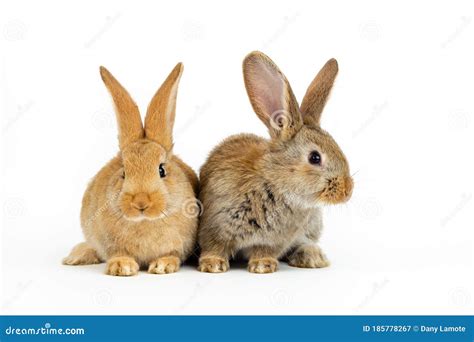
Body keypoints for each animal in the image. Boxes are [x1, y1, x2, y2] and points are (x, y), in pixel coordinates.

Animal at [62, 63, 199, 276]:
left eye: (161, 170)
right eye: (124, 173)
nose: (140, 202)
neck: (144, 221)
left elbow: (172, 254)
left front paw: (163, 266)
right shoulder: (110, 243)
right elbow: (117, 253)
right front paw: (121, 267)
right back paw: (75, 256)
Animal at [196, 51, 352, 276]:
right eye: (315, 157)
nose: (347, 191)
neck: (274, 181)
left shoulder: (273, 240)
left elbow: (264, 250)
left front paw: (263, 266)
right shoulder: (214, 225)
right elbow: (214, 246)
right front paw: (213, 265)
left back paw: (312, 257)